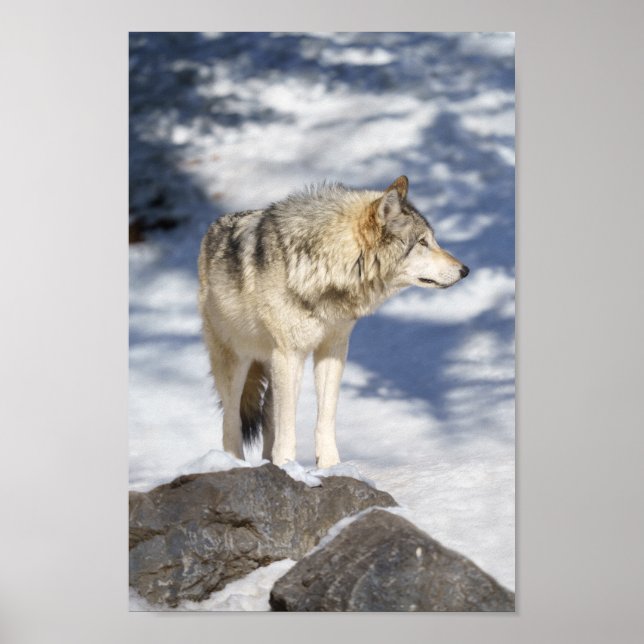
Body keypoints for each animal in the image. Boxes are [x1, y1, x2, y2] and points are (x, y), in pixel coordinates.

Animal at [198, 176, 469, 468]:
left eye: (432, 240)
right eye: (422, 242)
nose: (465, 270)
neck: (326, 267)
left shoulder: (333, 349)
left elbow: (325, 417)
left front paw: (329, 466)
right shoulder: (291, 354)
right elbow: (288, 425)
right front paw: (289, 466)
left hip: (270, 365)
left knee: (268, 417)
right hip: (236, 363)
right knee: (231, 423)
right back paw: (232, 463)